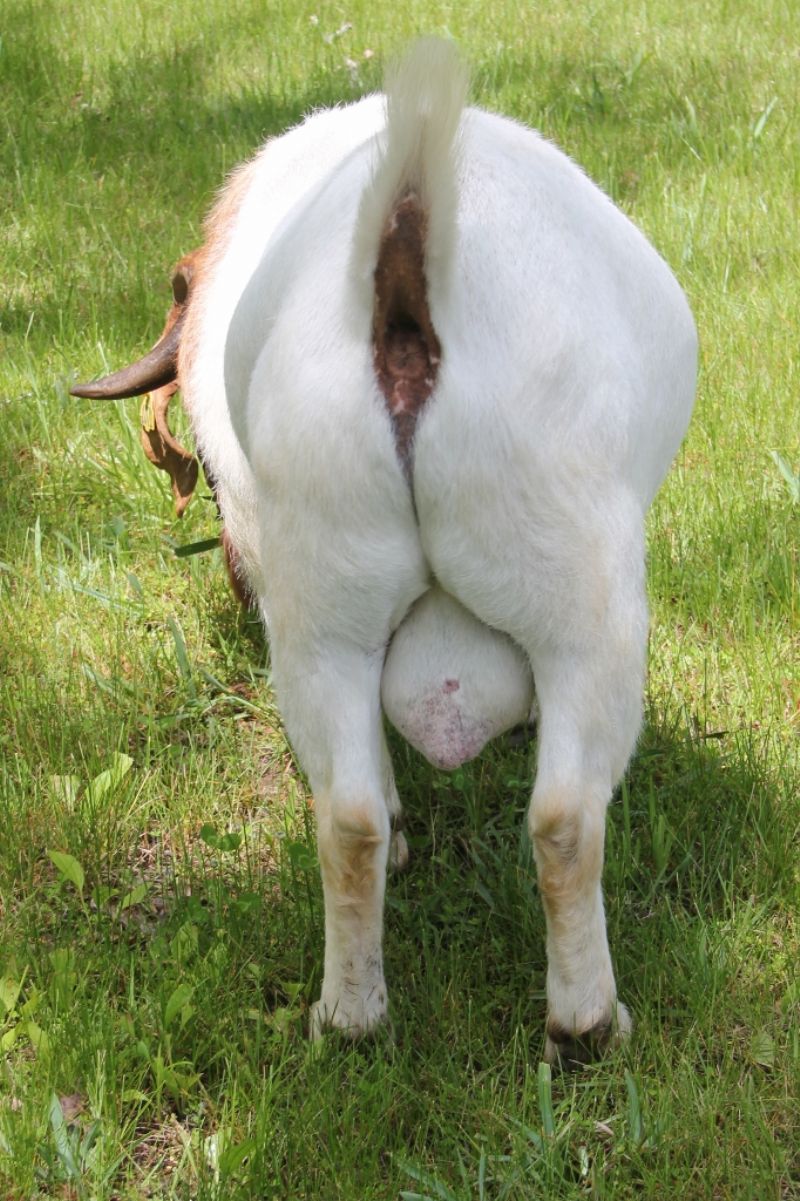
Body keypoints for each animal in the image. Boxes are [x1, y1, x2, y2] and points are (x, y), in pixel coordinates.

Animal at [76, 39, 696, 1061]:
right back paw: (587, 1025)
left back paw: (351, 1014)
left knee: (351, 817)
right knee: (567, 817)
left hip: (327, 598)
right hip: (584, 591)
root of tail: (404, 247)